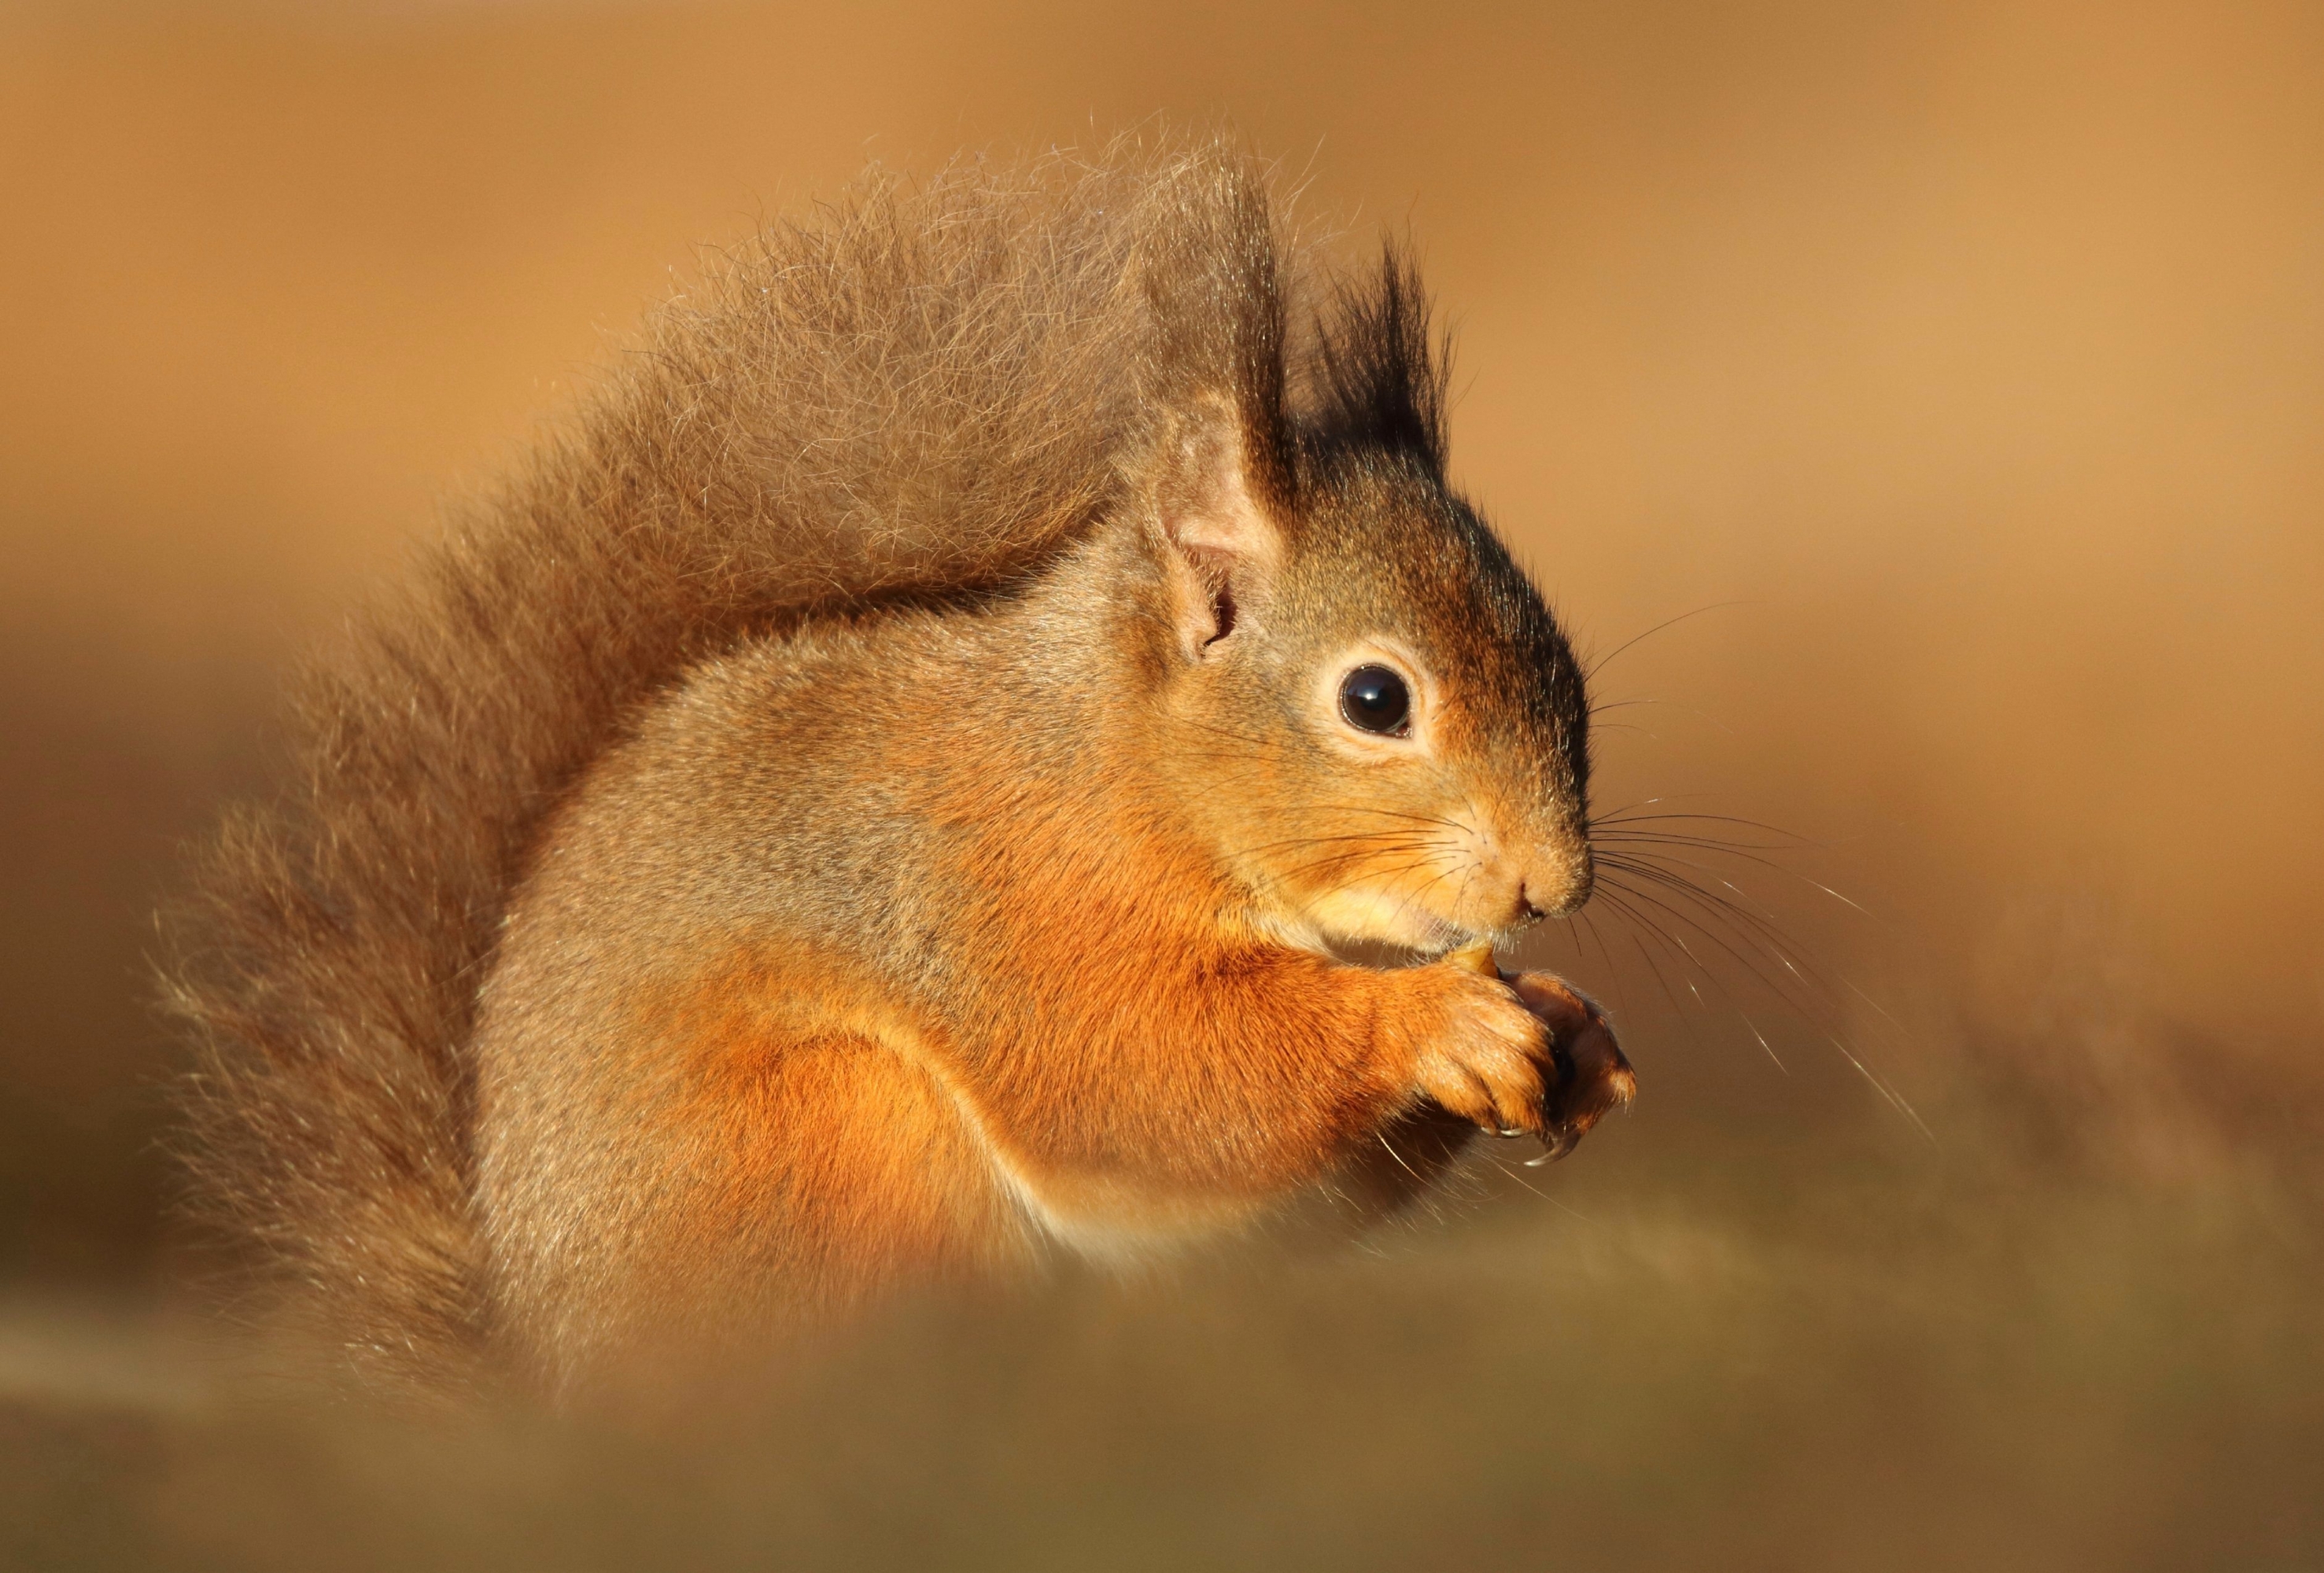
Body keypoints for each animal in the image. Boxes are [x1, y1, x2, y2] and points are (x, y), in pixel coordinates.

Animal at [164, 134, 1635, 1402]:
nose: (1552, 885)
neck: (1117, 767)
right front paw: (1440, 1021)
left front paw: (1565, 1029)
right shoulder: (1002, 901)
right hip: (842, 1153)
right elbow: (1150, 1085)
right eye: (1376, 699)